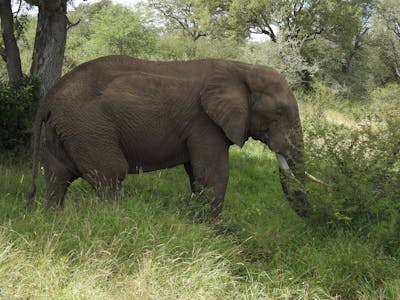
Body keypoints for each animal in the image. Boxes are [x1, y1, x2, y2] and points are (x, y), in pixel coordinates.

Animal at [28, 54, 316, 218]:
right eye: (278, 112)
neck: (242, 68)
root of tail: (50, 96)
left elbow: (197, 174)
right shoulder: (204, 121)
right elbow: (214, 173)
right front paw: (213, 233)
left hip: (65, 130)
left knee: (57, 178)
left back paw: (54, 222)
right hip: (89, 127)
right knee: (110, 174)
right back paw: (113, 221)